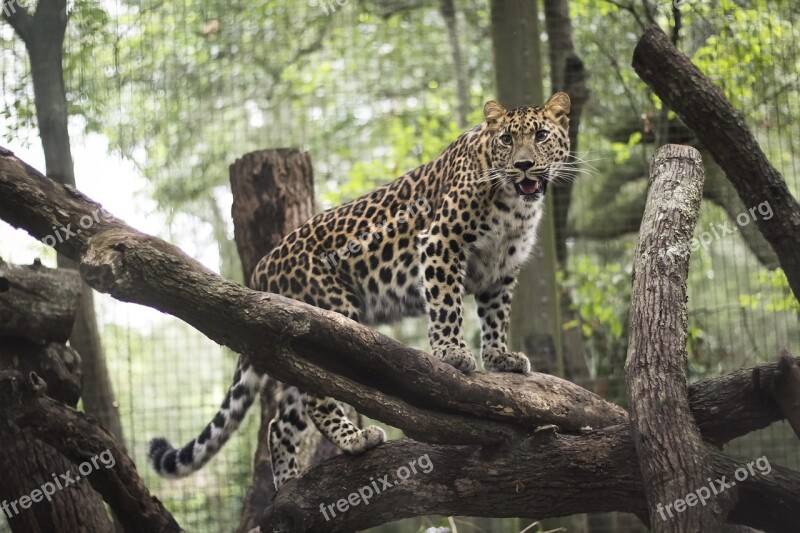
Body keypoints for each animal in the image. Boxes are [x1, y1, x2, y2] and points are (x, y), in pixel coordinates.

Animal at [148, 90, 568, 486]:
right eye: (507, 139)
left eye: (541, 136)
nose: (524, 165)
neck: (516, 207)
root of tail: (262, 270)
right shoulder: (440, 240)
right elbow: (446, 301)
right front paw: (452, 354)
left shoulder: (502, 269)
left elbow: (496, 315)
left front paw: (499, 358)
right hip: (327, 319)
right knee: (315, 399)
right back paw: (355, 440)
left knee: (281, 421)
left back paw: (288, 485)